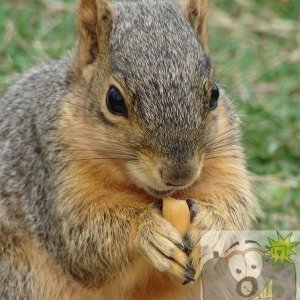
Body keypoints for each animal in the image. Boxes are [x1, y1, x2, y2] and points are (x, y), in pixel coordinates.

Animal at [0, 0, 255, 298]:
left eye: (214, 93)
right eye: (114, 99)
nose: (180, 174)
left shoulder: (225, 155)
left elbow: (234, 199)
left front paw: (211, 228)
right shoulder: (51, 175)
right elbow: (81, 237)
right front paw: (146, 230)